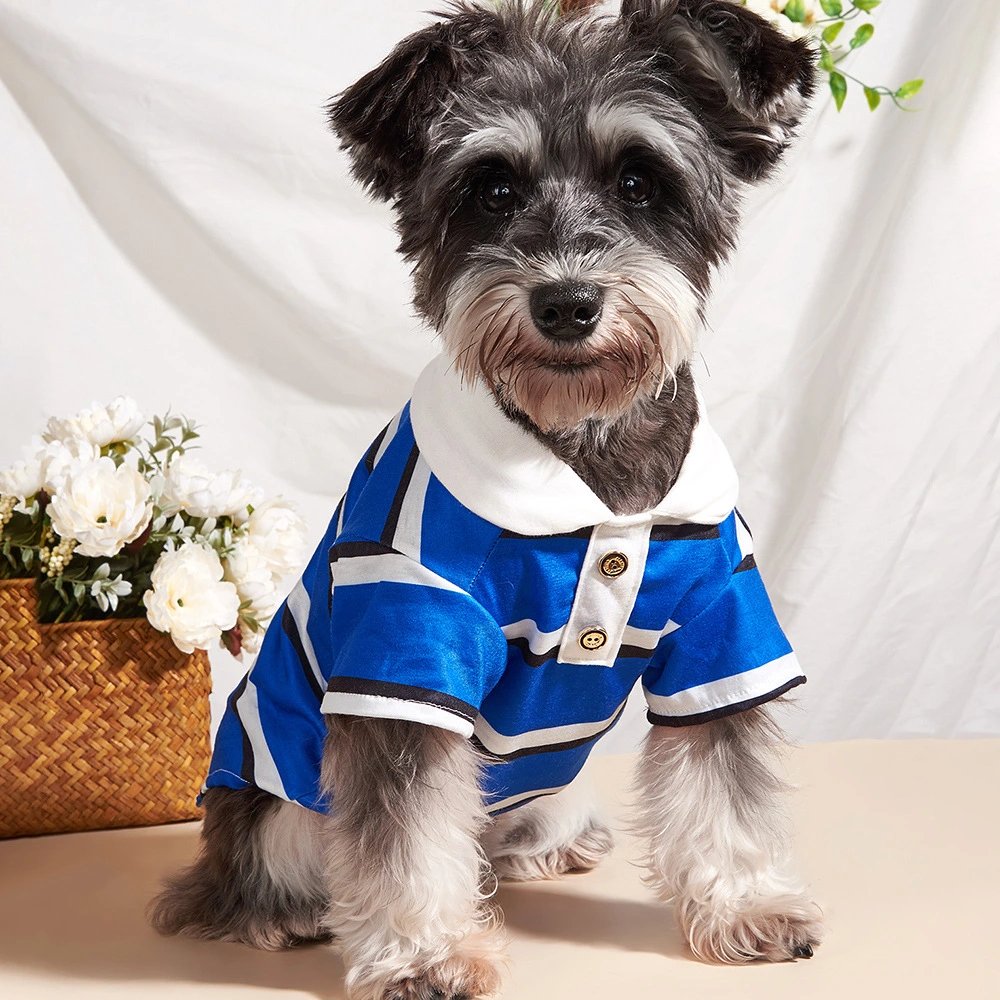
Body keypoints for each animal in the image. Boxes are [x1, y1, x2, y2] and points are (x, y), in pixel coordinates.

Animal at [148, 1, 820, 1000]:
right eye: (492, 189)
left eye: (639, 182)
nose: (567, 303)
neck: (588, 454)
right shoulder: (406, 637)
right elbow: (403, 833)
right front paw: (424, 954)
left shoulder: (723, 628)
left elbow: (723, 775)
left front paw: (745, 905)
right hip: (275, 806)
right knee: (289, 865)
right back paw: (280, 911)